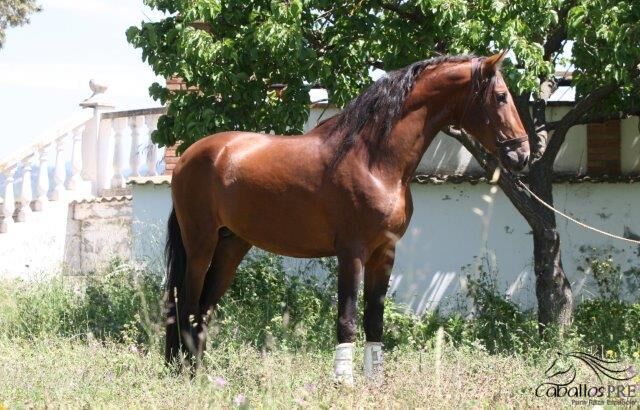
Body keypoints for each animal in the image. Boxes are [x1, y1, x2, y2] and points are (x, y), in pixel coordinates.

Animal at [165, 52, 528, 382]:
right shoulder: (351, 253)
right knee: (188, 303)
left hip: (232, 245)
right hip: (200, 245)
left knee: (204, 308)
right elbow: (348, 319)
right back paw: (186, 374)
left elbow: (374, 321)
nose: (522, 154)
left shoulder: (384, 253)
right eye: (501, 96)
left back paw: (198, 373)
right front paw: (344, 381)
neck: (373, 159)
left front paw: (374, 382)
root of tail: (188, 158)